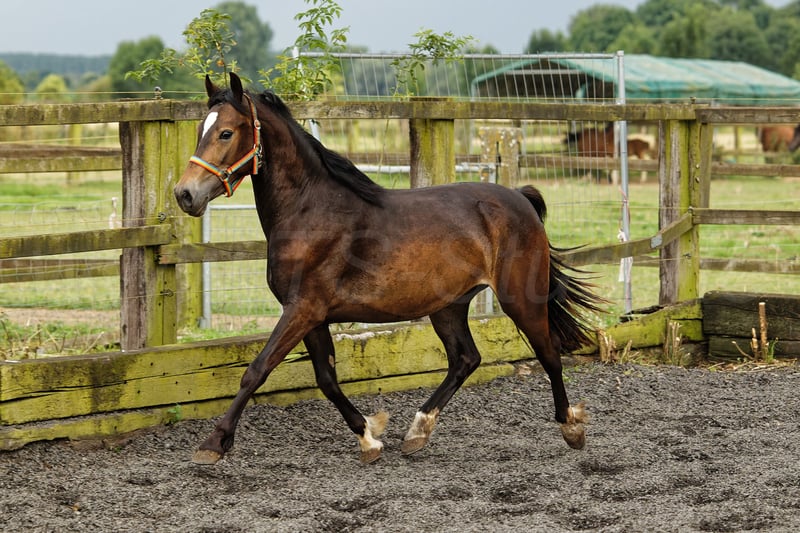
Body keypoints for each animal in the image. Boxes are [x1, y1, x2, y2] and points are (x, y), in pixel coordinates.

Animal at [174, 72, 605, 465]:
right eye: (199, 130)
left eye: (226, 133)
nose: (184, 194)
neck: (310, 211)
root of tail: (520, 198)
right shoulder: (312, 316)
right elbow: (326, 379)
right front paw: (370, 437)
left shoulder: (302, 310)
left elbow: (257, 370)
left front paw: (213, 444)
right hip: (448, 306)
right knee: (465, 359)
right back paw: (417, 432)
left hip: (519, 298)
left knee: (548, 351)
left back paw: (571, 427)